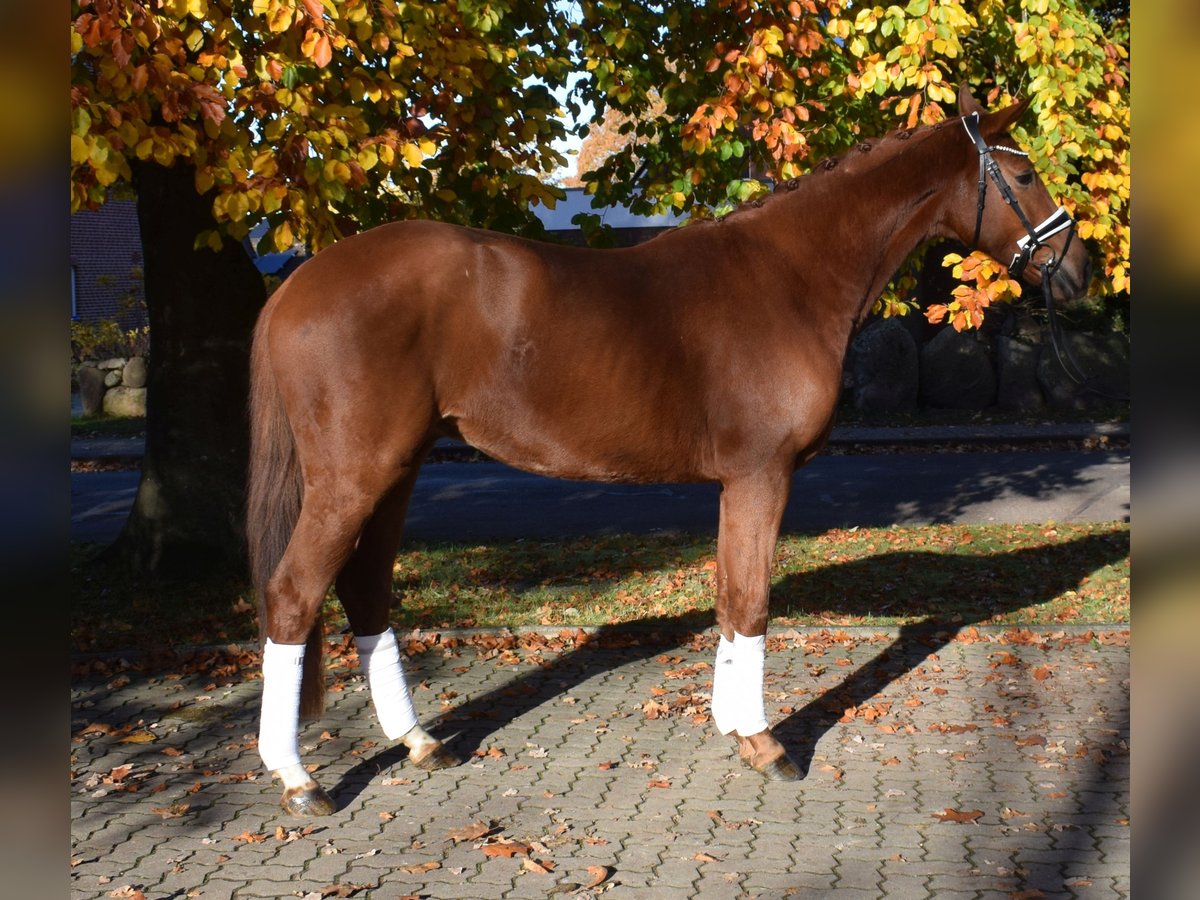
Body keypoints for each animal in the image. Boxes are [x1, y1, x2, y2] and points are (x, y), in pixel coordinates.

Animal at [247, 84, 1092, 815]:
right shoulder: (761, 475)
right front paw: (765, 744)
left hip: (396, 472)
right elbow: (751, 601)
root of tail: (296, 285)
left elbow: (729, 599)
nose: (1075, 271)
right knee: (293, 596)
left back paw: (420, 742)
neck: (789, 277)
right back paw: (298, 779)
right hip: (354, 478)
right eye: (1023, 172)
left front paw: (732, 726)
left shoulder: (738, 483)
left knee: (364, 593)